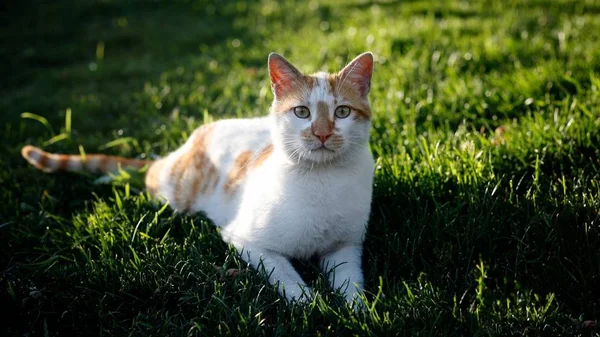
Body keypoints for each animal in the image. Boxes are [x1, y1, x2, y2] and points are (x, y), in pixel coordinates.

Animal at [22, 51, 376, 304]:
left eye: (342, 112)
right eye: (302, 112)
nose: (322, 134)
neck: (322, 179)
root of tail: (190, 140)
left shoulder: (345, 246)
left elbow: (351, 279)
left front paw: (357, 310)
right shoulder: (247, 241)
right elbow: (284, 274)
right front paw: (308, 303)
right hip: (172, 192)